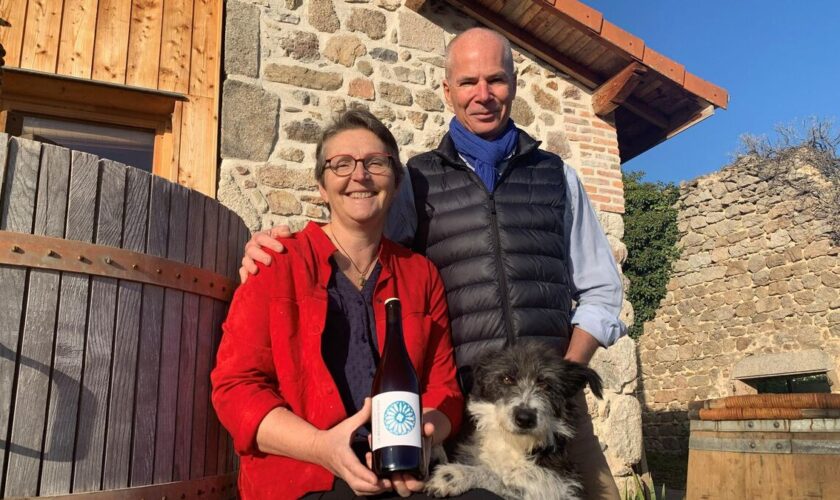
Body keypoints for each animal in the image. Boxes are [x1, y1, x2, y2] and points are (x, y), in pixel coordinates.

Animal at [426, 340, 604, 500]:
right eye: (506, 379)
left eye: (546, 385)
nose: (525, 418)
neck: (514, 444)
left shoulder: (554, 488)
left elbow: (503, 481)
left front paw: (458, 474)